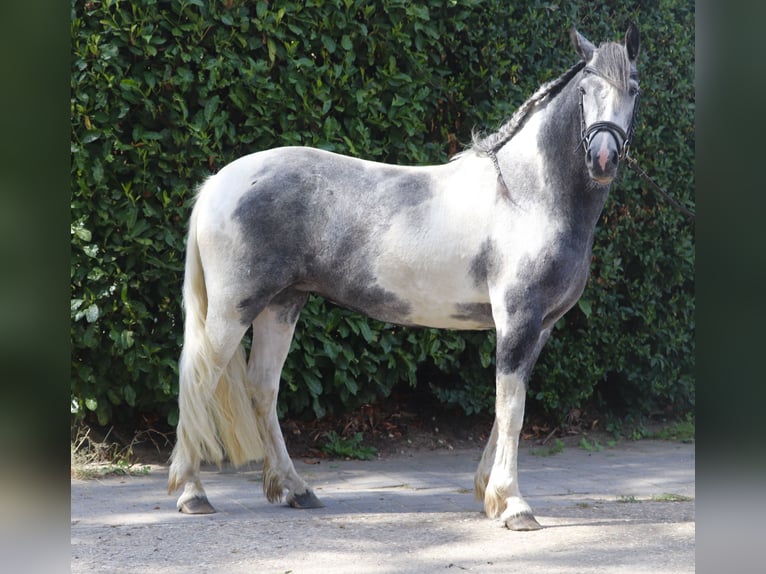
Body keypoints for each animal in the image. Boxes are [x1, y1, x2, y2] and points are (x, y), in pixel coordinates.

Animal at [168, 24, 640, 532]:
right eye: (585, 89)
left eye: (633, 89)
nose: (603, 158)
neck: (524, 195)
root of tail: (217, 183)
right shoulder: (518, 319)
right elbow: (512, 410)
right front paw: (514, 504)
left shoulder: (539, 328)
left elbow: (504, 408)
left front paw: (488, 493)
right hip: (233, 309)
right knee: (199, 381)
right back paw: (193, 493)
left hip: (281, 305)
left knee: (262, 389)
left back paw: (297, 490)